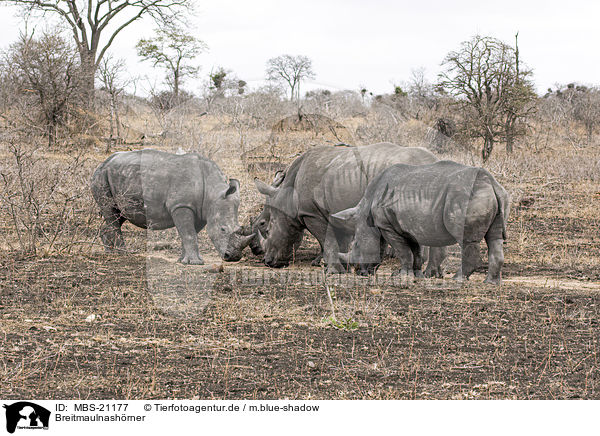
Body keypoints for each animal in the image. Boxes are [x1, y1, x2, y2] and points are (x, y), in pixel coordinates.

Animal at [90, 150, 252, 264]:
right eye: (223, 229)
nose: (234, 257)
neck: (213, 193)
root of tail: (103, 162)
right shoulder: (180, 205)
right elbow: (188, 233)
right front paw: (195, 262)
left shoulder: (200, 211)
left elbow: (190, 233)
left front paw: (184, 260)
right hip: (101, 177)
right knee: (111, 212)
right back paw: (123, 253)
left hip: (117, 178)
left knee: (119, 215)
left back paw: (110, 252)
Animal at [332, 162, 510, 284]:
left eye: (356, 245)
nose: (359, 272)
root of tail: (491, 183)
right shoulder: (409, 226)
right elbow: (414, 251)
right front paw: (416, 274)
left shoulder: (387, 226)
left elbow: (403, 251)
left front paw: (402, 275)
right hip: (495, 195)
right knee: (495, 238)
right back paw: (491, 283)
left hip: (466, 198)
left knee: (466, 240)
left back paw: (458, 279)